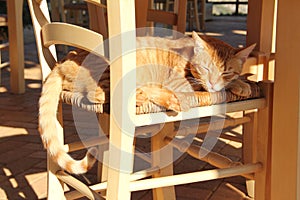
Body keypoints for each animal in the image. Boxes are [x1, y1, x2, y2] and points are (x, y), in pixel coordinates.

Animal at [38, 32, 255, 174]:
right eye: (206, 68)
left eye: (226, 72)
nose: (212, 82)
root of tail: (61, 63)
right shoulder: (179, 83)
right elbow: (197, 90)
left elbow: (232, 82)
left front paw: (241, 84)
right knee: (98, 94)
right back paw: (156, 98)